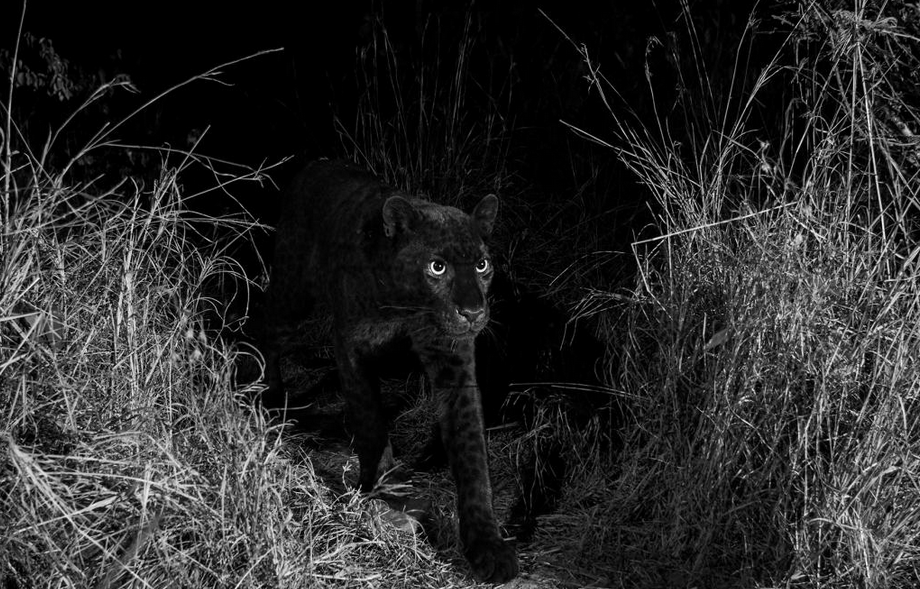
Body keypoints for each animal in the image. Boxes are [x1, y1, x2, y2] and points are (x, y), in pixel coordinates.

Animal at [259, 159, 519, 583]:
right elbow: (369, 419)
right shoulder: (351, 345)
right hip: (294, 293)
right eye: (437, 267)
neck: (407, 306)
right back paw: (267, 398)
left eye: (482, 265)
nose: (473, 311)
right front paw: (382, 488)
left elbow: (471, 454)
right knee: (262, 326)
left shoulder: (453, 361)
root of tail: (313, 164)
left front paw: (488, 546)